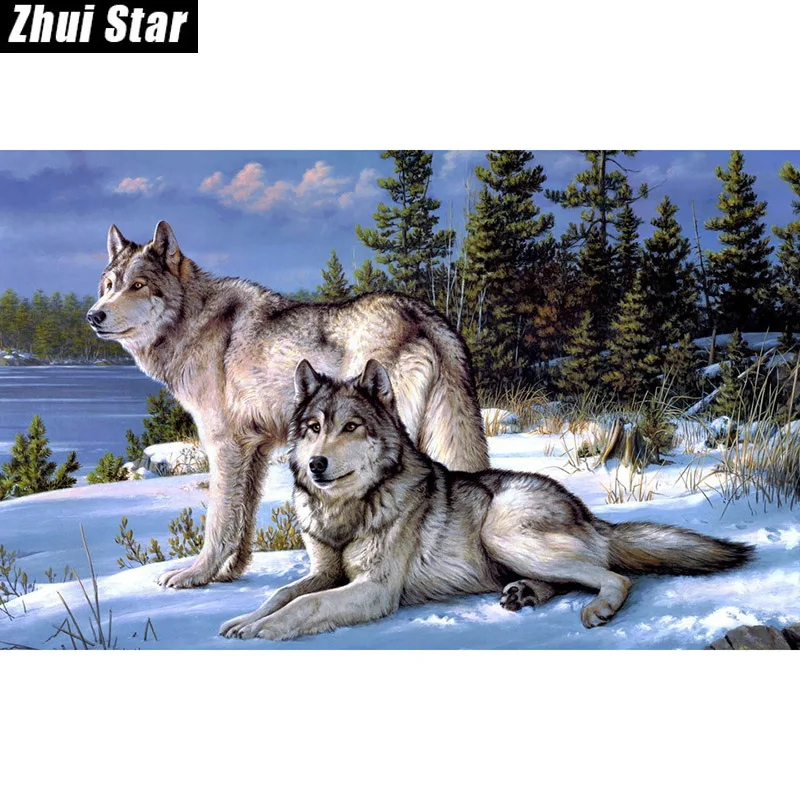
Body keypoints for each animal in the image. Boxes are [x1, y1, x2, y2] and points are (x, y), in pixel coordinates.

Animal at [87, 221, 489, 589]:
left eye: (138, 286)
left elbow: (218, 521)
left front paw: (195, 575)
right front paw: (229, 573)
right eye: (109, 286)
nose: (94, 315)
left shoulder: (223, 446)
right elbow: (243, 520)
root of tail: (425, 314)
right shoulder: (255, 449)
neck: (192, 322)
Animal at [219, 360, 754, 640]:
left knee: (615, 577)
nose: (316, 465)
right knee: (572, 578)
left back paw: (596, 609)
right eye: (314, 428)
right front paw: (244, 618)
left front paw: (263, 629)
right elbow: (281, 594)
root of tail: (586, 512)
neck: (347, 512)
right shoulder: (324, 572)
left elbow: (305, 606)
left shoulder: (374, 589)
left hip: (502, 533)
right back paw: (525, 594)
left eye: (351, 426)